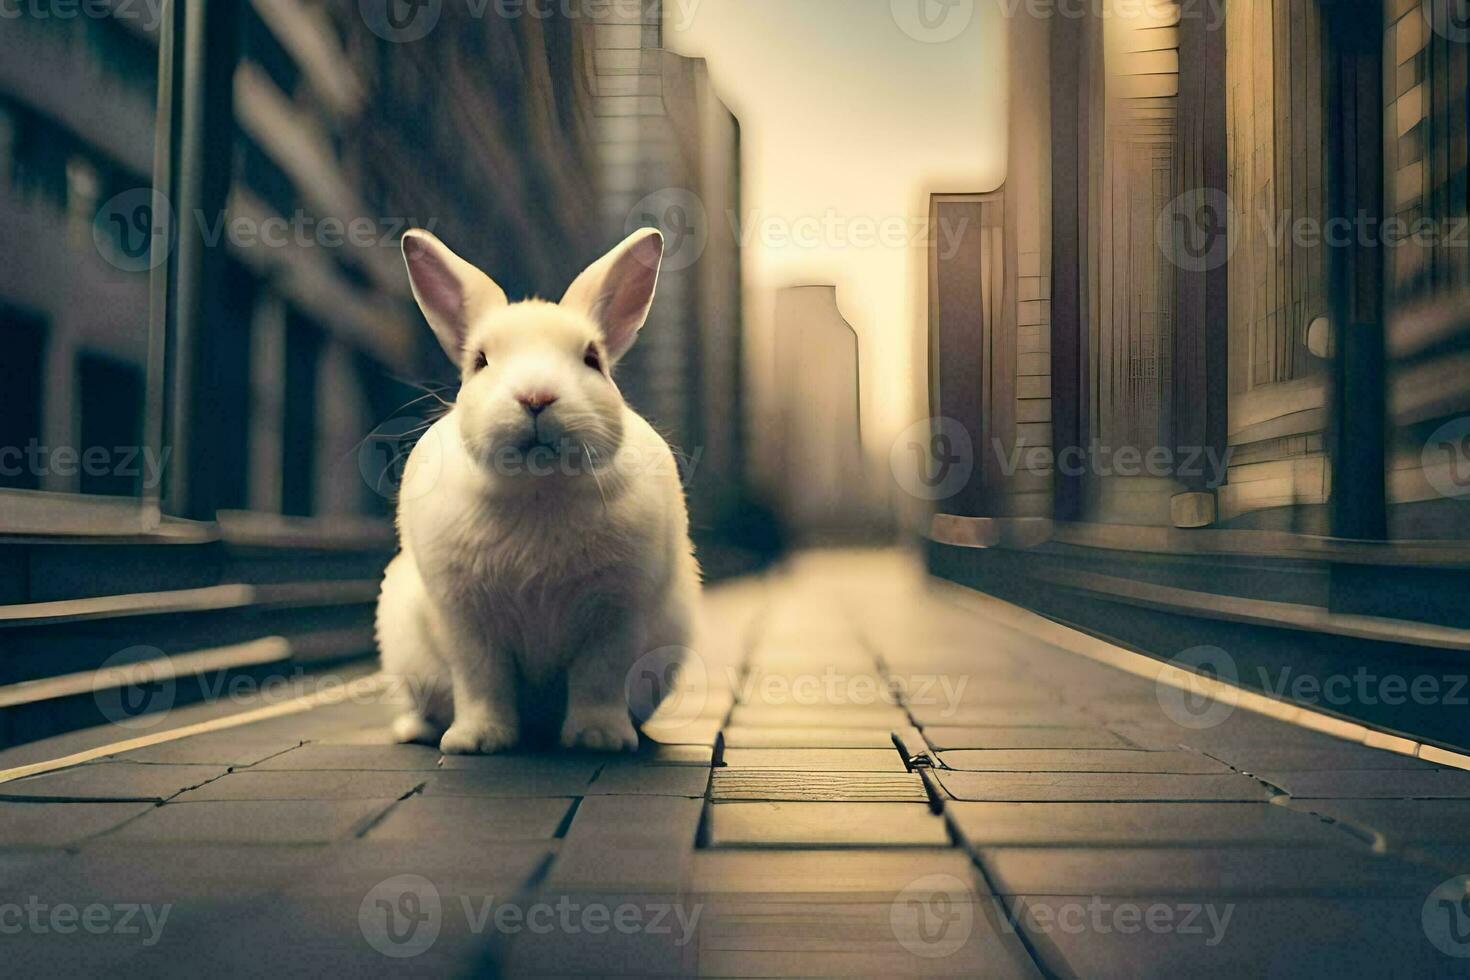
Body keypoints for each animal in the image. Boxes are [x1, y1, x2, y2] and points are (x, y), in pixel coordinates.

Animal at [376, 226, 702, 758]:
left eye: (592, 359)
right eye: (480, 361)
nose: (535, 397)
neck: (537, 486)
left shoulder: (616, 614)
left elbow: (598, 680)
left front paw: (598, 739)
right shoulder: (466, 618)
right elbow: (481, 681)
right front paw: (477, 741)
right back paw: (414, 730)